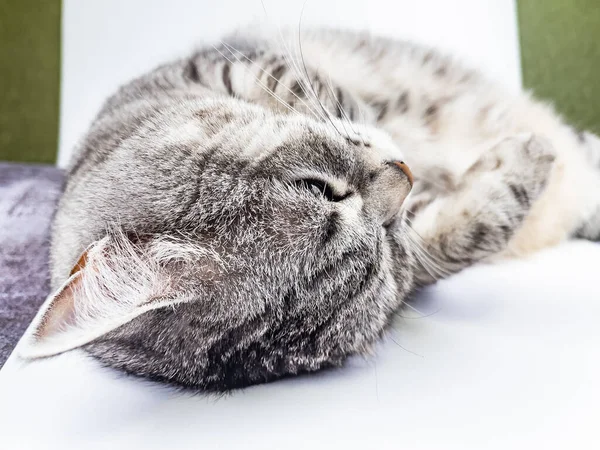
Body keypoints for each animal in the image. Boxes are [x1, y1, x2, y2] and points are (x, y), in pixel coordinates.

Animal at [19, 28, 600, 390]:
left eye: (319, 189)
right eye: (380, 261)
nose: (407, 174)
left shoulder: (233, 64)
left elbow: (317, 91)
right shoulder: (418, 257)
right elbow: (463, 233)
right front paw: (527, 159)